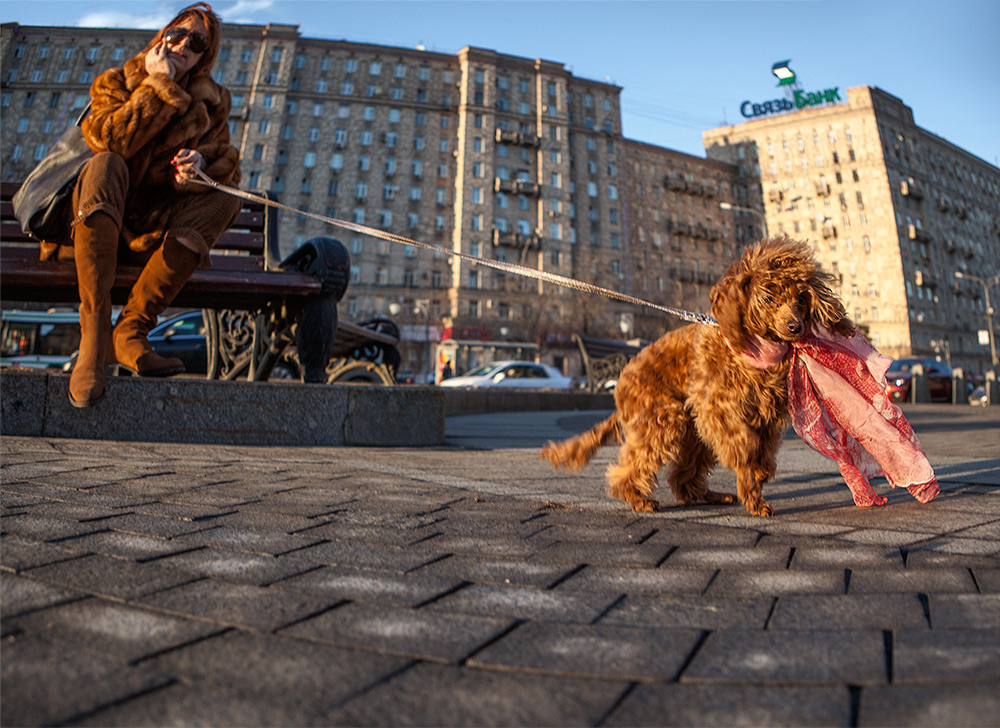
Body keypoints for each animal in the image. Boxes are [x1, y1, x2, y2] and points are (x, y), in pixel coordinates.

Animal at [544, 236, 856, 516]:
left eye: (802, 298)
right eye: (768, 298)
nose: (795, 327)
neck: (753, 347)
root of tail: (621, 383)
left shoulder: (764, 419)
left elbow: (763, 456)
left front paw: (756, 483)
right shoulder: (719, 408)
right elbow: (744, 450)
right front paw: (752, 486)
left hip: (692, 432)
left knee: (682, 475)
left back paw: (710, 495)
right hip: (662, 417)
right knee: (635, 463)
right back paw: (637, 497)